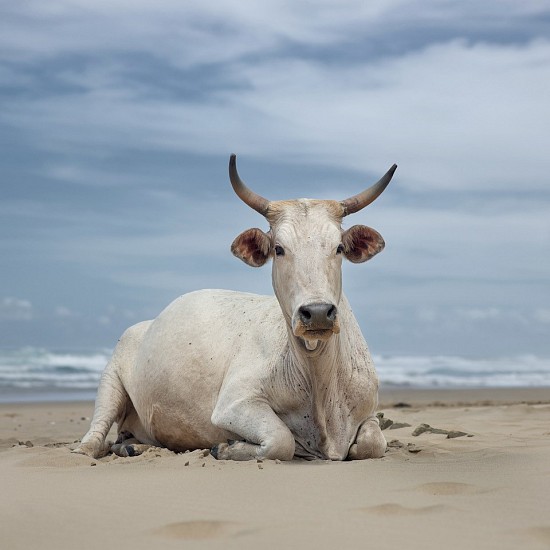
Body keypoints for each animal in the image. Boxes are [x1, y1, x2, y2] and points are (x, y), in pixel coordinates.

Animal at [75, 156, 398, 466]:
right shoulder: (234, 403)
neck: (319, 380)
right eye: (279, 249)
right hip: (110, 379)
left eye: (339, 247)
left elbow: (373, 444)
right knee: (97, 436)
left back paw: (134, 447)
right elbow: (282, 440)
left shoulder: (370, 412)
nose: (317, 312)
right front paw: (226, 448)